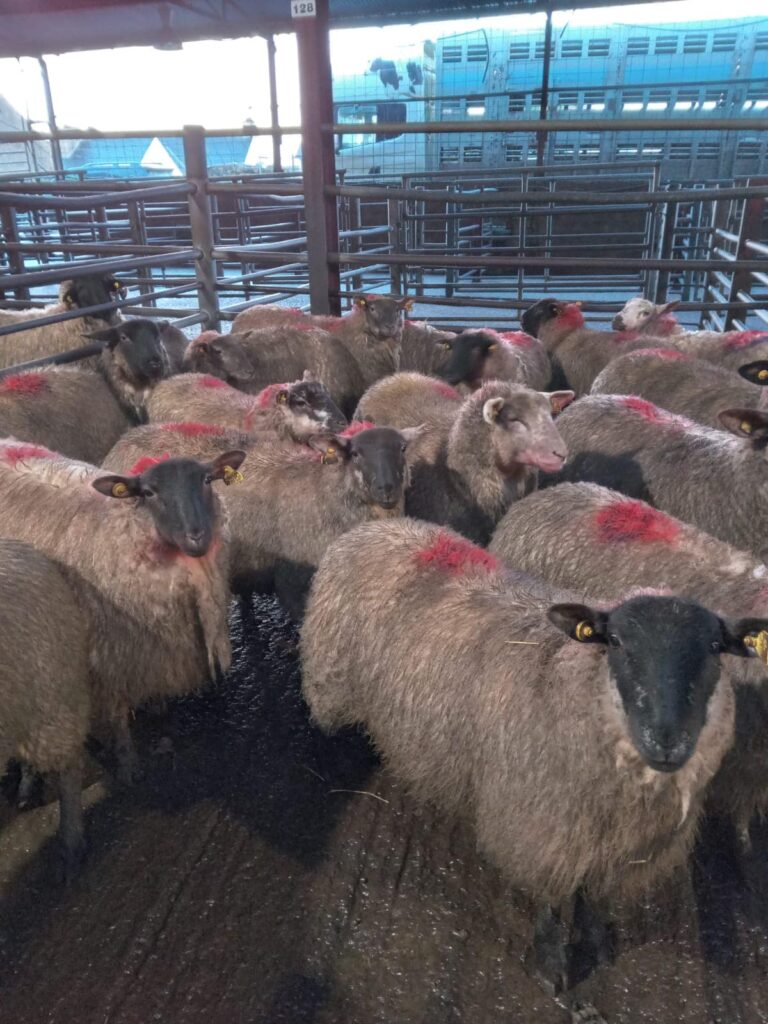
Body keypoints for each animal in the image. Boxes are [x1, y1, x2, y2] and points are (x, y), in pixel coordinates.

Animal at [0, 440, 244, 783]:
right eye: (149, 492)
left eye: (206, 480)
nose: (197, 536)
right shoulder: (110, 656)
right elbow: (117, 716)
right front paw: (128, 763)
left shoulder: (155, 646)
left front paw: (159, 709)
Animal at [300, 517, 758, 990]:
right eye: (615, 641)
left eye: (714, 648)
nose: (667, 738)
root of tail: (380, 524)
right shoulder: (541, 832)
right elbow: (552, 904)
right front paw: (551, 968)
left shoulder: (615, 848)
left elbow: (595, 902)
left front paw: (597, 948)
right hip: (329, 680)